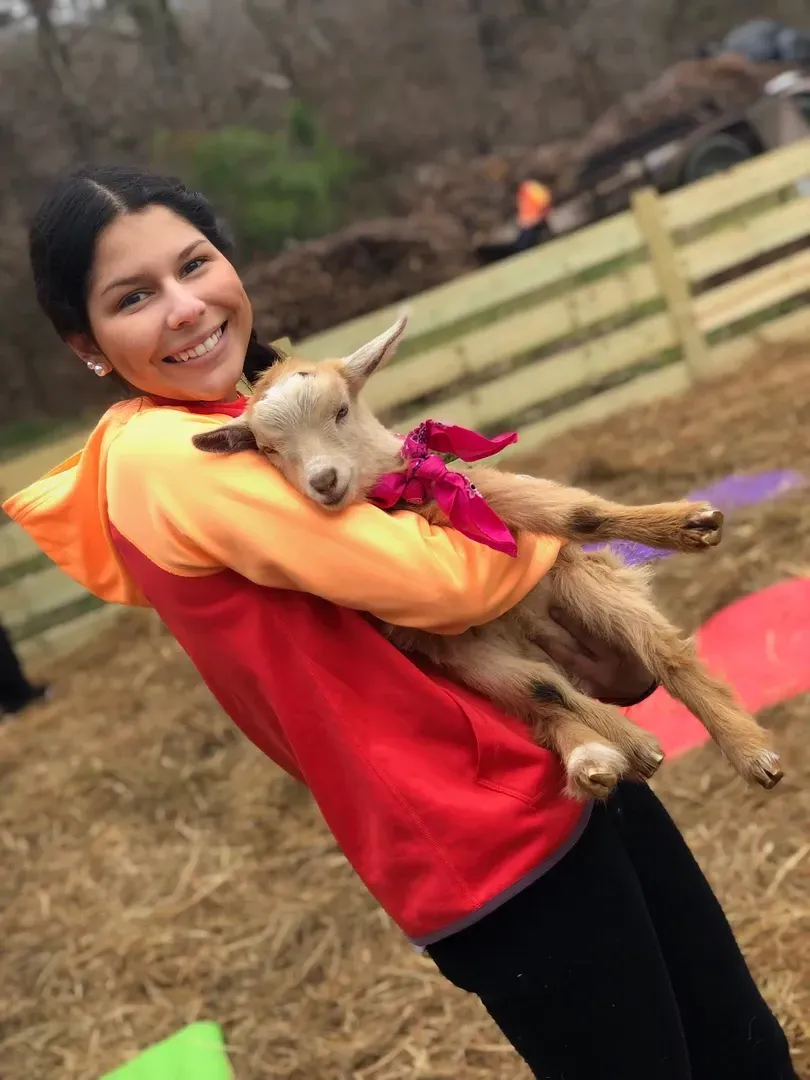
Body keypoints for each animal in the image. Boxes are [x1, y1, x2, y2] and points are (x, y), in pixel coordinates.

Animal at [192, 315, 783, 800]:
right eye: (269, 450)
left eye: (339, 410)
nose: (323, 481)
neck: (411, 496)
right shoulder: (436, 634)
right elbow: (543, 690)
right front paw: (635, 748)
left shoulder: (500, 503)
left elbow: (580, 516)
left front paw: (686, 524)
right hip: (478, 655)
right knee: (543, 691)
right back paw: (602, 756)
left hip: (580, 585)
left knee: (663, 651)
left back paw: (752, 753)